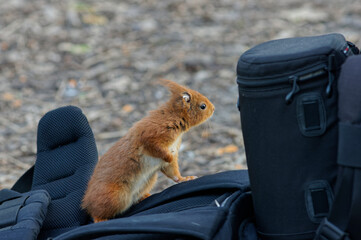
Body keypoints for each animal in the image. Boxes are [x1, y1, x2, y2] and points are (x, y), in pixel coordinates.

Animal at [82, 79, 215, 222]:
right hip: (112, 196)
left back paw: (144, 196)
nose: (213, 108)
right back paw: (100, 219)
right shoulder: (150, 135)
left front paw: (185, 178)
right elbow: (156, 149)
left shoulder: (171, 151)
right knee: (96, 212)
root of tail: (86, 202)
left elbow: (173, 172)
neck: (173, 116)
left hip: (148, 181)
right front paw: (169, 157)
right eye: (203, 106)